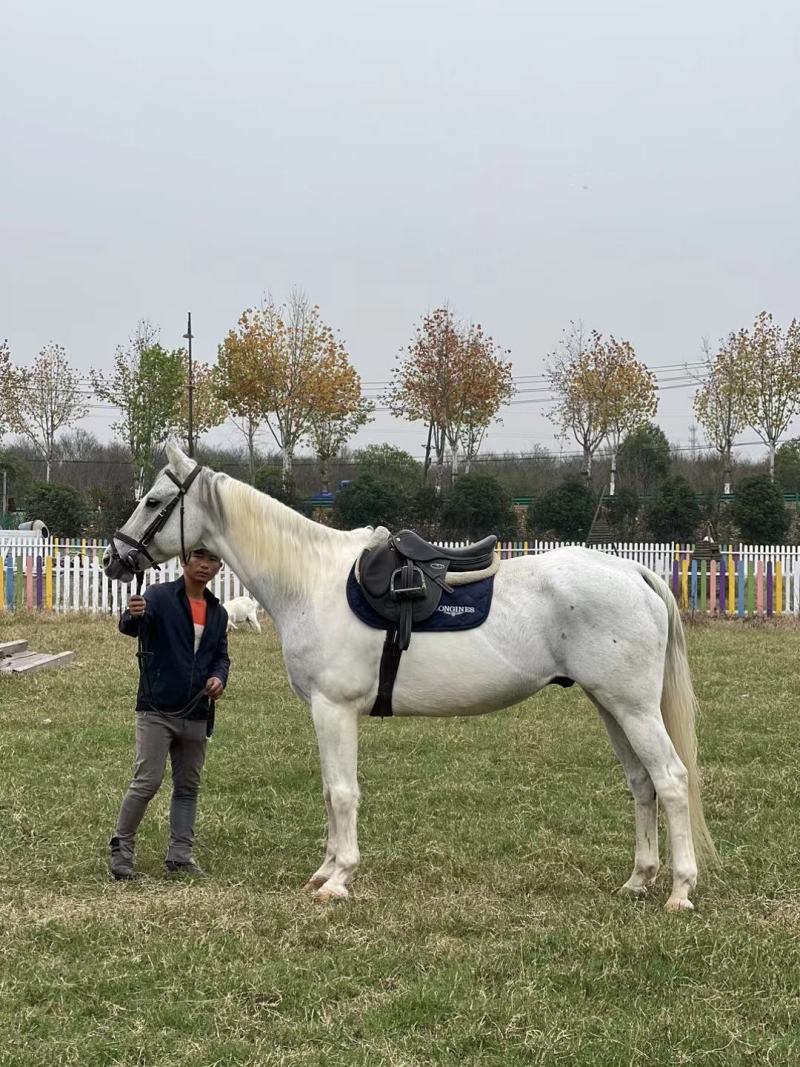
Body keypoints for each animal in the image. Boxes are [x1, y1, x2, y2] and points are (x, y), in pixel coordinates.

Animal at [103, 443, 716, 911]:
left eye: (154, 501)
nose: (115, 560)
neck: (311, 581)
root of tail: (634, 572)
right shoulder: (326, 713)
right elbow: (330, 790)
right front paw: (325, 869)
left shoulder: (334, 708)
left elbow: (343, 792)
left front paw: (339, 879)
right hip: (611, 705)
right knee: (641, 783)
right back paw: (638, 879)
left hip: (633, 708)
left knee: (670, 780)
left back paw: (679, 891)